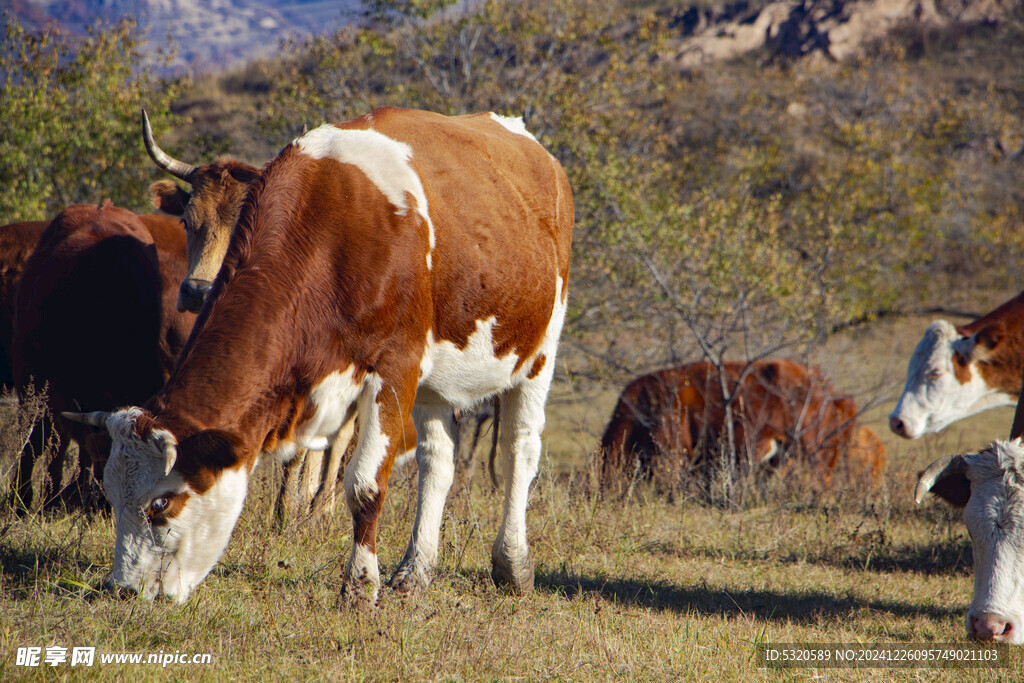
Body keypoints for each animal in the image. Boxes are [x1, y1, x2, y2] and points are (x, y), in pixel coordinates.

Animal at [68, 105, 573, 602]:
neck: (334, 231)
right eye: (111, 493)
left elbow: (365, 484)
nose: (122, 589)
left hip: (540, 351)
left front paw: (360, 584)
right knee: (437, 461)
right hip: (437, 381)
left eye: (160, 503)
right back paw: (416, 571)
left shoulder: (396, 367)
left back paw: (512, 566)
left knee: (519, 451)